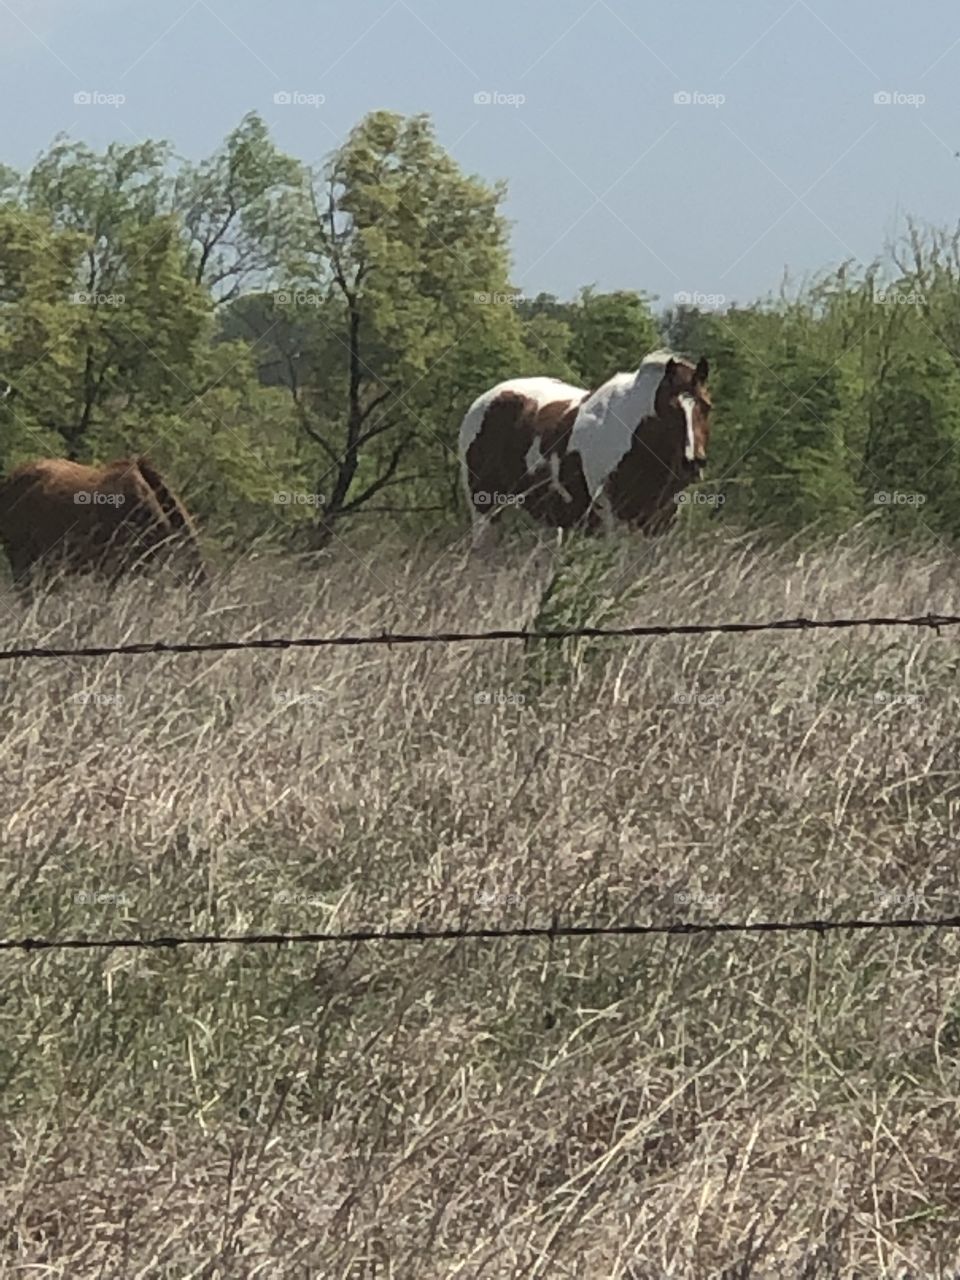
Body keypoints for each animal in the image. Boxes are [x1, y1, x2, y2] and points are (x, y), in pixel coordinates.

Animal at [458, 353, 716, 547]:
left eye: (706, 406)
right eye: (669, 409)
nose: (693, 462)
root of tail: (483, 402)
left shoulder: (661, 523)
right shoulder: (613, 522)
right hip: (484, 507)